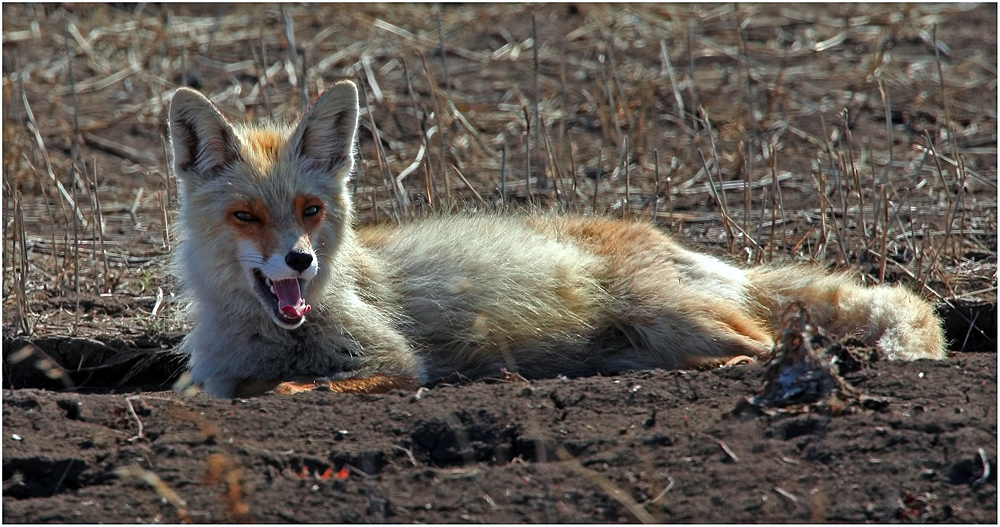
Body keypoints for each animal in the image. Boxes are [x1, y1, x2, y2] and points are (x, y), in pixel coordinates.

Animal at [168, 80, 948, 398]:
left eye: (309, 210)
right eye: (247, 216)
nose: (298, 260)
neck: (273, 337)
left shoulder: (396, 362)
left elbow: (295, 387)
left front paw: (277, 387)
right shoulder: (213, 370)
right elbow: (210, 388)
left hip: (672, 316)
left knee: (764, 343)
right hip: (651, 333)